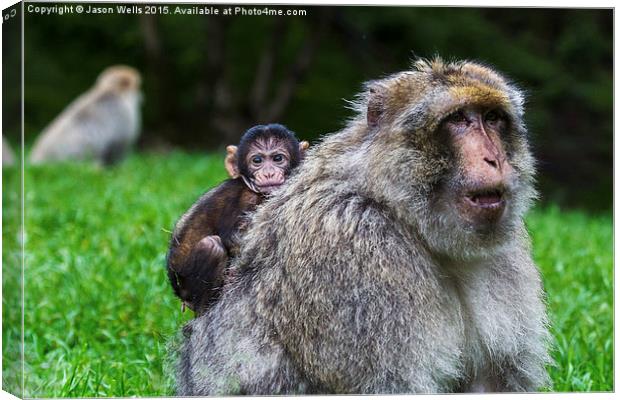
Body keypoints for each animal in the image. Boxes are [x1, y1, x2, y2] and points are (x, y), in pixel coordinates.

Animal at [167, 123, 308, 314]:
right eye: (257, 160)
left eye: (278, 158)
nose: (269, 173)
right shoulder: (244, 198)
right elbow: (233, 237)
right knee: (212, 246)